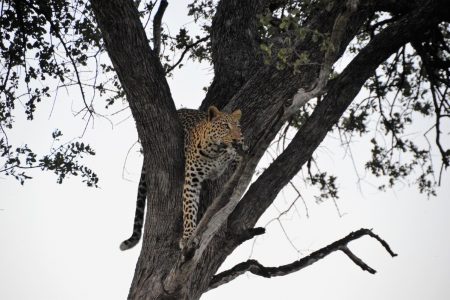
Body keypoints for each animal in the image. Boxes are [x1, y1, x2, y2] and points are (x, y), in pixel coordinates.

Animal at [119, 106, 244, 251]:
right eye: (225, 126)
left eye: (238, 127)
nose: (237, 140)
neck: (216, 152)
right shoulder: (192, 180)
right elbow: (189, 208)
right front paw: (188, 237)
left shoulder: (238, 158)